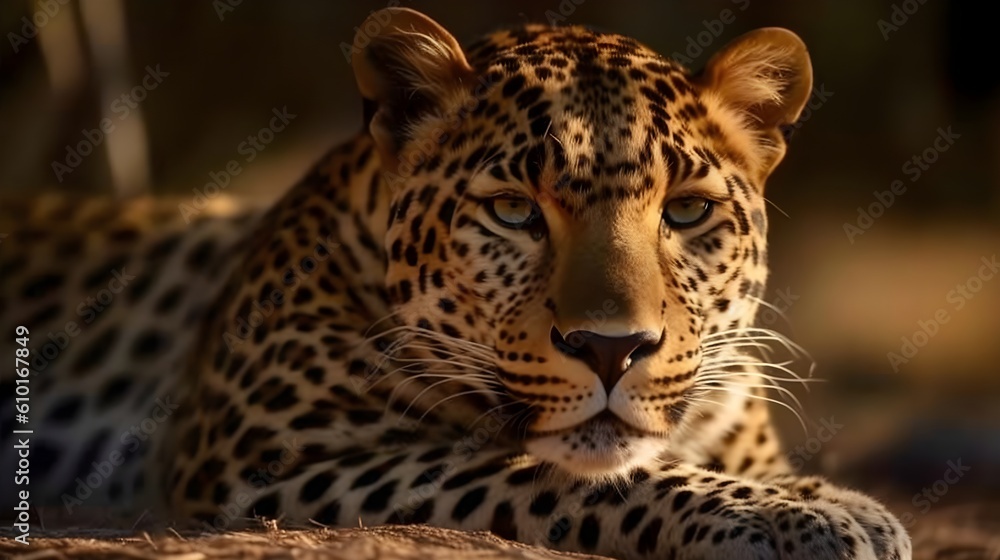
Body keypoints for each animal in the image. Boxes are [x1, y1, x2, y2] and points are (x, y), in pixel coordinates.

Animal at [0, 8, 911, 560]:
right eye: (513, 211)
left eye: (686, 211)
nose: (610, 350)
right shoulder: (263, 464)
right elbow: (541, 471)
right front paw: (804, 516)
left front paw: (814, 496)